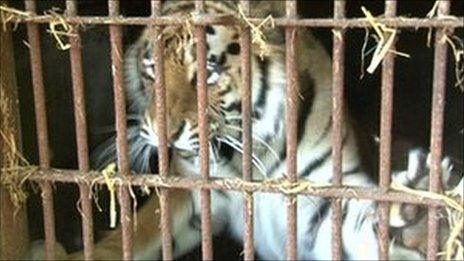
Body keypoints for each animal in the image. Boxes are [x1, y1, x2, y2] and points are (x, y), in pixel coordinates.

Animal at [28, 1, 460, 258]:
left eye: (208, 72)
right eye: (152, 71)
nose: (161, 136)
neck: (248, 154)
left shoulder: (323, 201)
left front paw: (423, 212)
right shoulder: (192, 193)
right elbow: (130, 236)